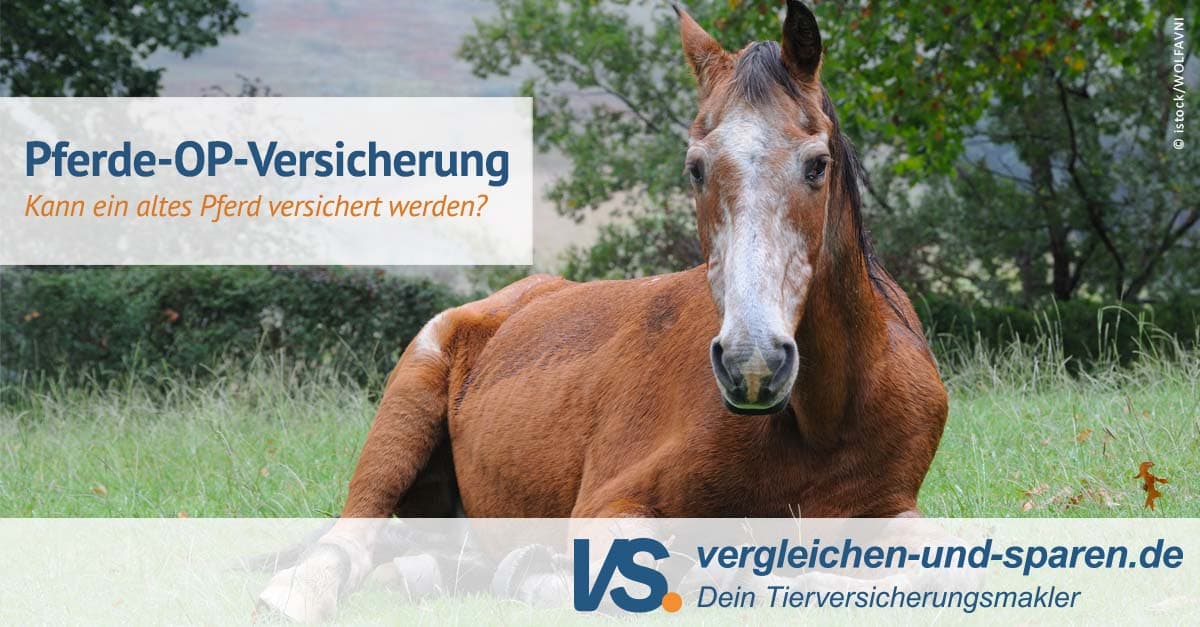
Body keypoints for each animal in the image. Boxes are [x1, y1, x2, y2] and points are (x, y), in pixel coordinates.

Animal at [259, 1, 948, 620]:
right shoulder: (609, 507)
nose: (753, 364)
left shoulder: (891, 511)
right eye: (696, 169)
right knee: (351, 534)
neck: (823, 418)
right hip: (404, 411)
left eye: (817, 164)